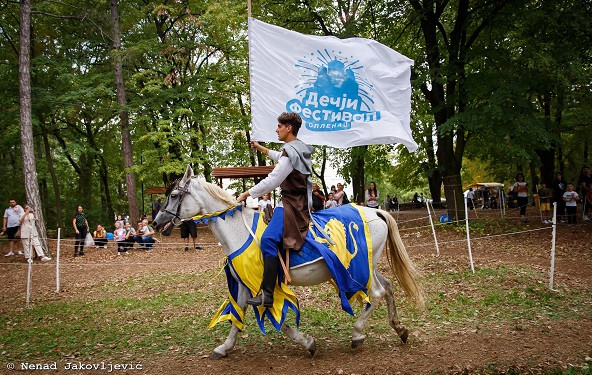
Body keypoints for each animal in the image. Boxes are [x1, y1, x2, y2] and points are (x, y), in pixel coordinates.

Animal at [153, 166, 420, 360]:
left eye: (174, 196)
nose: (156, 222)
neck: (237, 230)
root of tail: (376, 212)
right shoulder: (244, 284)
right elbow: (238, 313)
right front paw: (224, 347)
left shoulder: (262, 286)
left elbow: (275, 318)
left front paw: (307, 343)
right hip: (368, 266)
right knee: (388, 287)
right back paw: (400, 329)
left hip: (359, 269)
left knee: (376, 294)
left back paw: (357, 334)